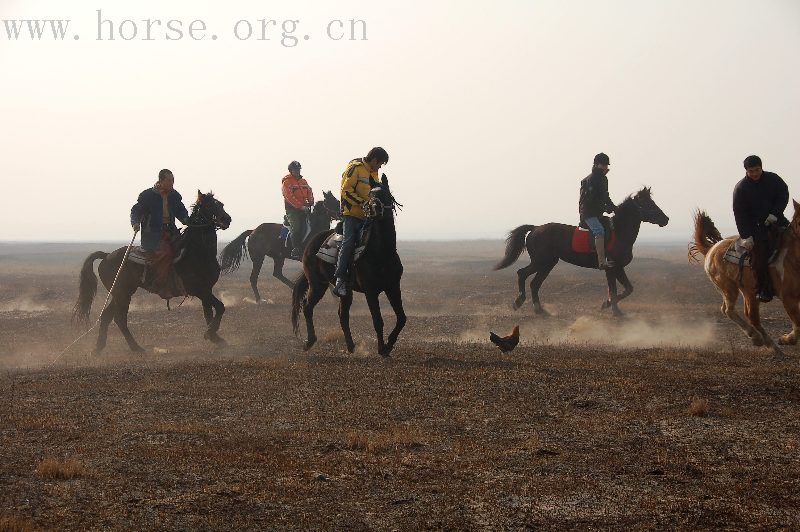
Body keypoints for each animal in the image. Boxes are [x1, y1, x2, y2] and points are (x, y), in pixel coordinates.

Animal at [72, 191, 231, 354]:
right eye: (209, 206)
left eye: (221, 204)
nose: (226, 219)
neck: (197, 252)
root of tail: (107, 255)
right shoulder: (199, 290)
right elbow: (220, 307)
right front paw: (211, 332)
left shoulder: (206, 289)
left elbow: (209, 313)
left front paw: (214, 337)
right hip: (122, 294)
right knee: (119, 319)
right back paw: (136, 348)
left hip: (119, 294)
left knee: (106, 317)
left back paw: (99, 348)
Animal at [290, 176, 406, 358]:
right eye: (371, 195)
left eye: (385, 193)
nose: (373, 208)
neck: (381, 251)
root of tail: (311, 242)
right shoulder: (371, 291)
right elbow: (378, 321)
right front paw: (382, 348)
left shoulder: (393, 286)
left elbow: (401, 318)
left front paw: (389, 345)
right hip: (317, 284)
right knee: (308, 308)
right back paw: (309, 342)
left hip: (346, 292)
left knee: (342, 315)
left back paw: (351, 345)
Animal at [494, 187, 668, 316]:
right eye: (648, 204)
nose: (665, 219)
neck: (619, 231)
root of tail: (536, 229)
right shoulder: (613, 267)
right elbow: (617, 289)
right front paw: (613, 310)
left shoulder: (616, 268)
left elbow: (624, 289)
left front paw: (608, 305)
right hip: (540, 261)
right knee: (522, 274)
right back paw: (519, 301)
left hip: (548, 263)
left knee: (534, 283)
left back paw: (539, 310)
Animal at [688, 203, 800, 358]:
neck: (792, 257)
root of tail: (712, 248)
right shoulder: (788, 298)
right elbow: (798, 325)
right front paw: (786, 339)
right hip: (732, 289)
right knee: (733, 312)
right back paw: (760, 339)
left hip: (746, 291)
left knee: (746, 315)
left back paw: (767, 344)